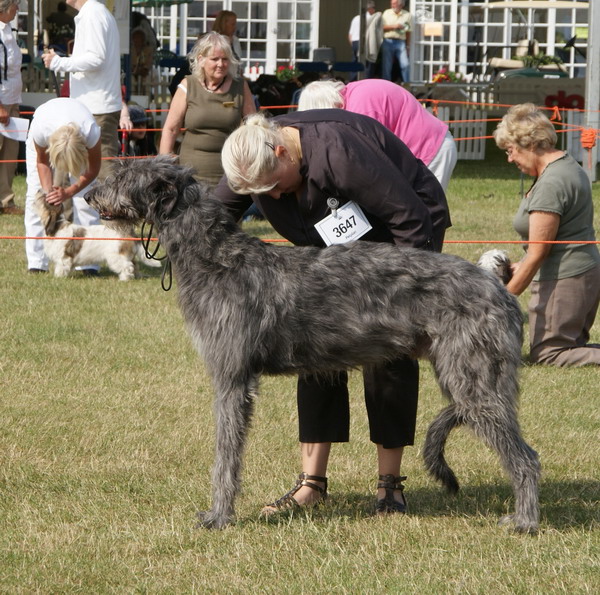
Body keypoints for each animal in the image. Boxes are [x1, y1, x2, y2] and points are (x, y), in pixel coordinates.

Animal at [86, 156, 540, 532]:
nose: (89, 193)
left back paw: (524, 522)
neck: (215, 258)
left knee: (526, 458)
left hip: (475, 380)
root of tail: (497, 286)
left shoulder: (232, 379)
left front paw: (219, 516)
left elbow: (226, 454)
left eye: (124, 175)